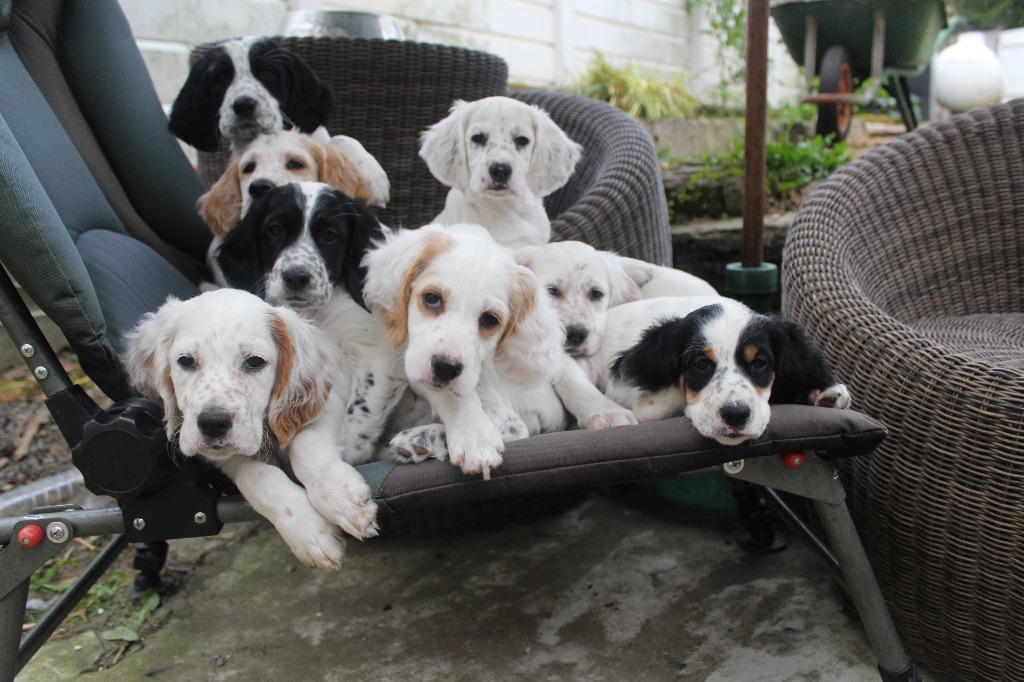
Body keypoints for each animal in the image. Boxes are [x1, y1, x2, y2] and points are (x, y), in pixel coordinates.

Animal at [120, 286, 376, 569]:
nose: (212, 423)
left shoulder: (328, 407)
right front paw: (309, 531)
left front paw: (341, 497)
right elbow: (256, 475)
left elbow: (305, 446)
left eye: (254, 362)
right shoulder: (219, 456)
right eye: (185, 361)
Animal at [217, 180, 415, 462]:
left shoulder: (380, 356)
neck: (319, 314)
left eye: (330, 236)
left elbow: (360, 411)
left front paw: (349, 455)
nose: (296, 277)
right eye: (275, 230)